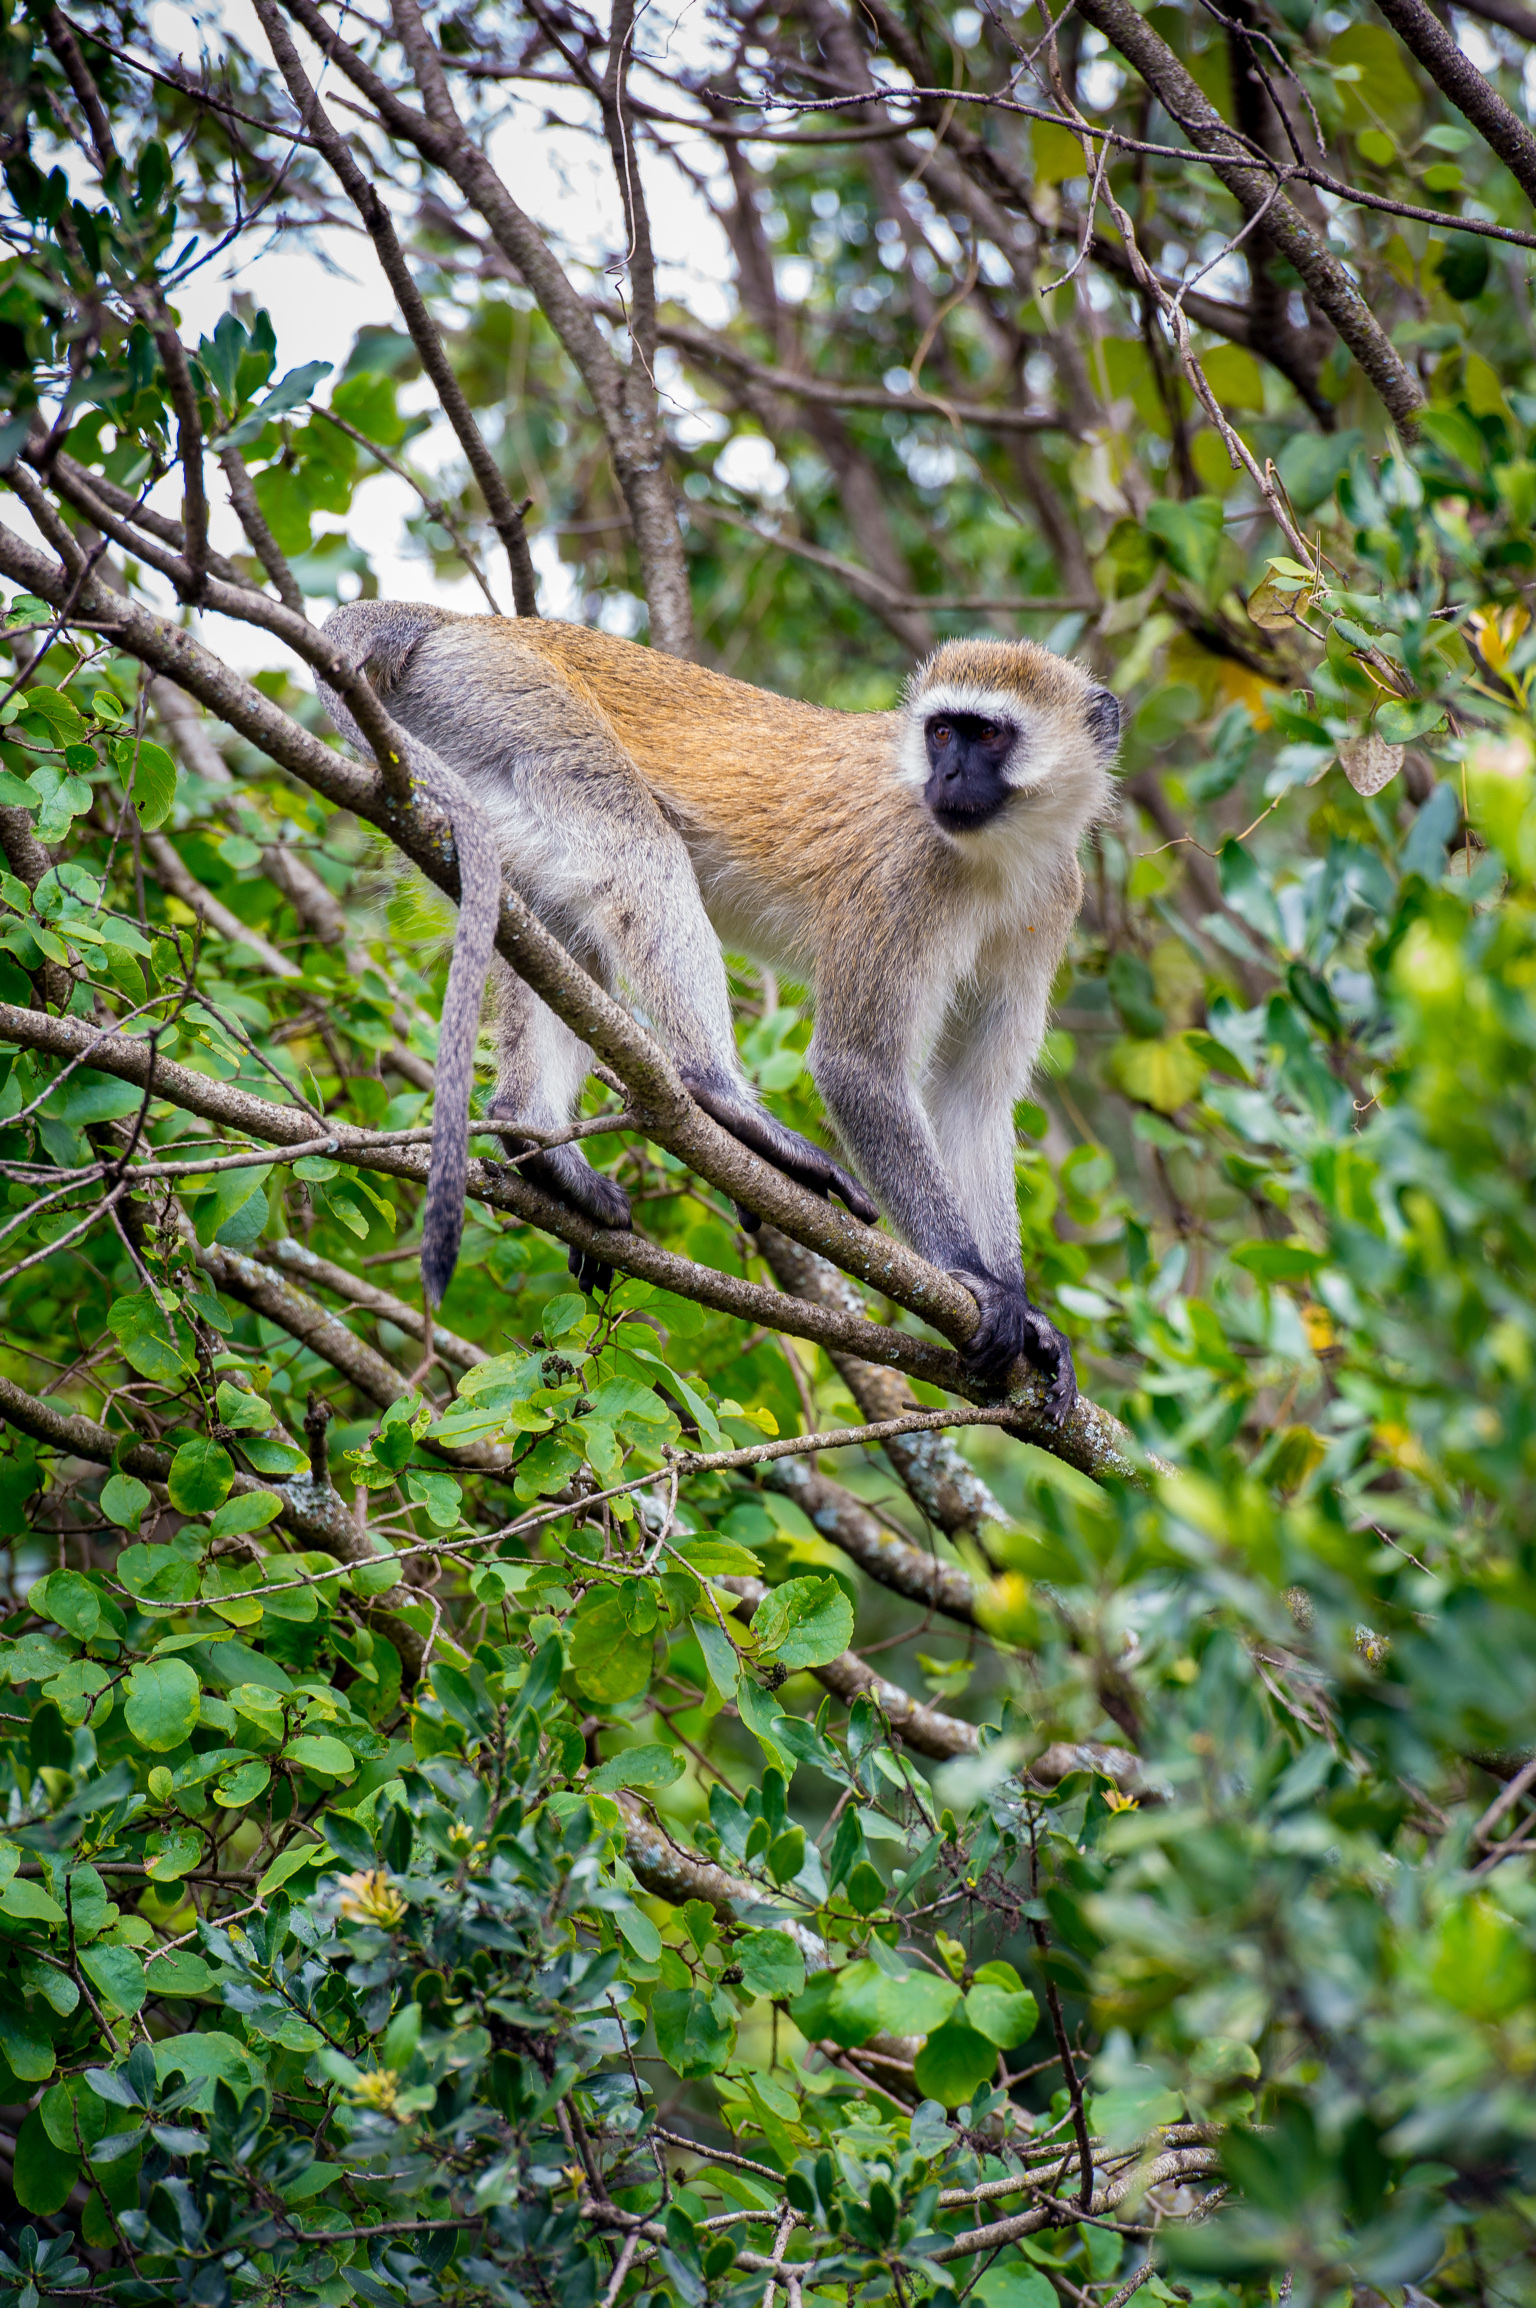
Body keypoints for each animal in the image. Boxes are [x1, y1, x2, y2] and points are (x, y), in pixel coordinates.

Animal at [315, 604, 1120, 1412]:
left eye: (986, 735)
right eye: (943, 733)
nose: (946, 775)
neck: (996, 855)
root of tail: (467, 621)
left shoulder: (1056, 897)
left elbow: (972, 1095)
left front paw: (1024, 1309)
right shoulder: (903, 874)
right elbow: (856, 1068)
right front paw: (977, 1282)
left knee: (559, 925)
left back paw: (535, 1135)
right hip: (503, 700)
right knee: (637, 843)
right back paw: (722, 1100)